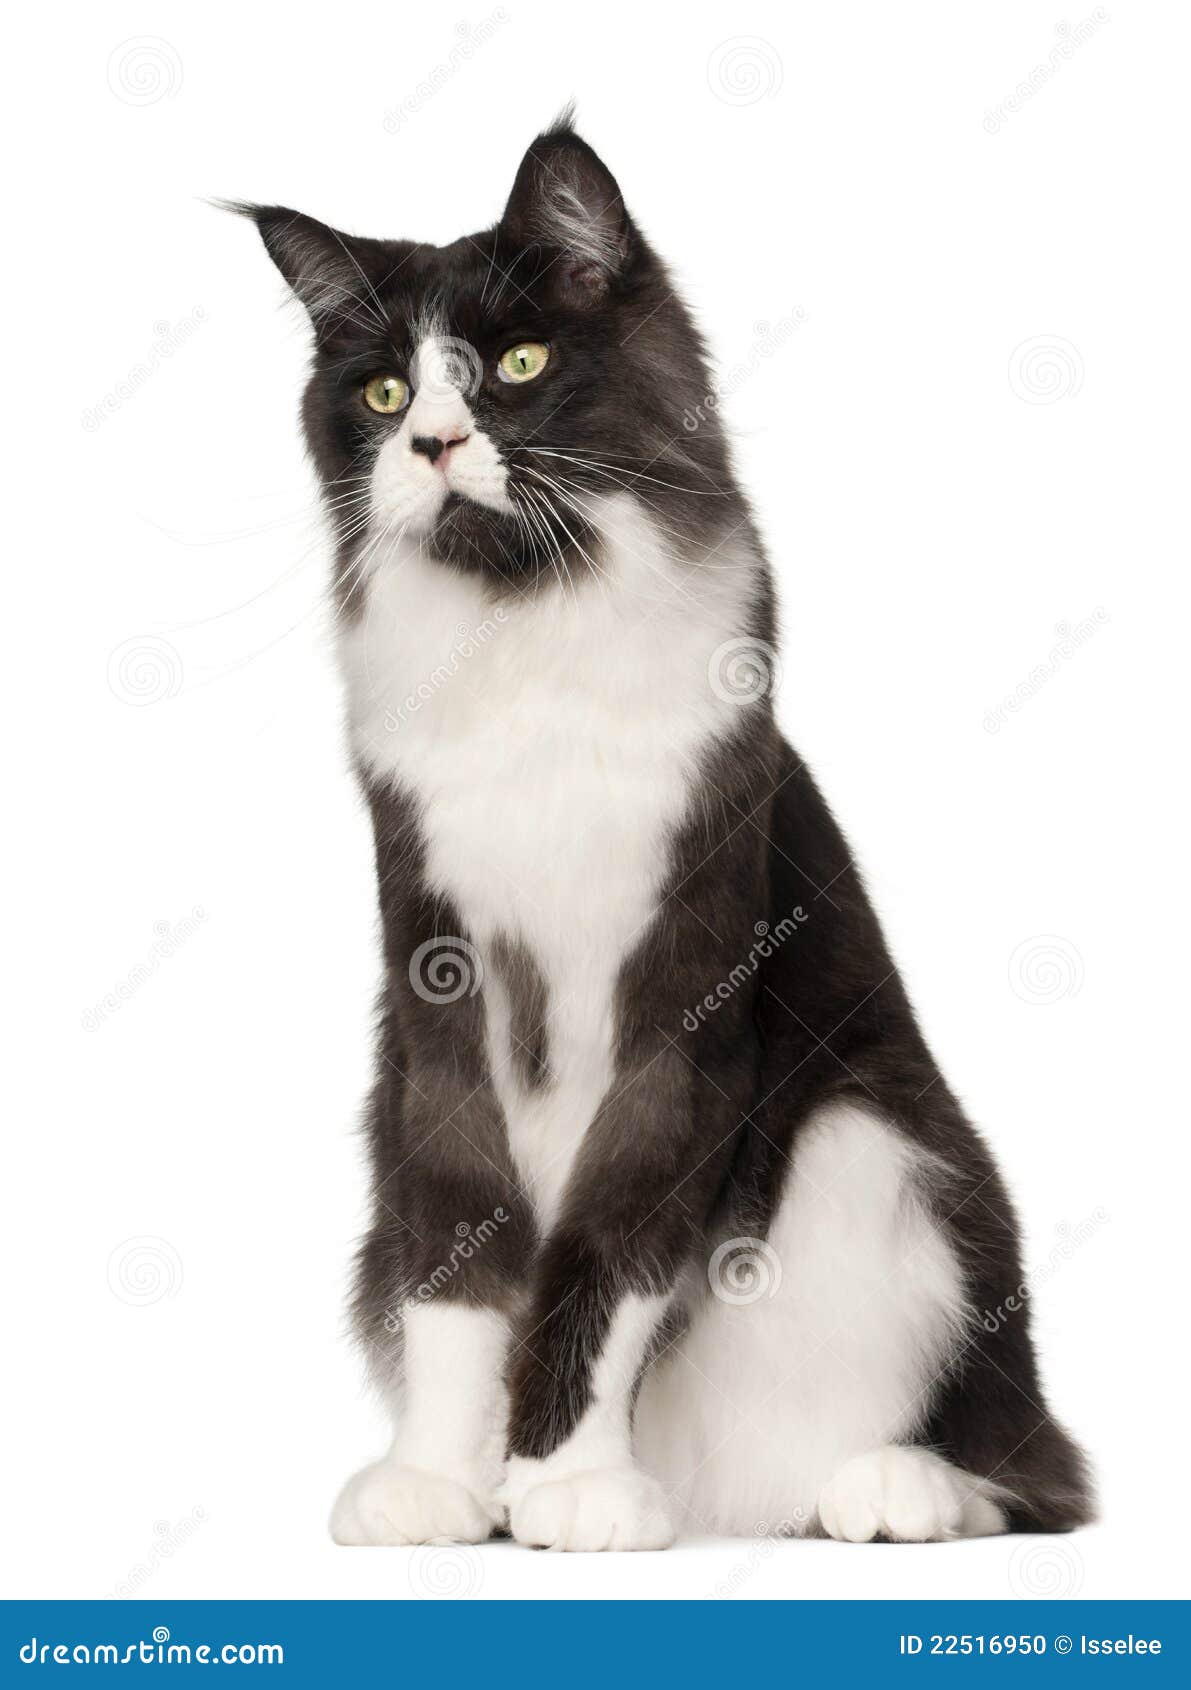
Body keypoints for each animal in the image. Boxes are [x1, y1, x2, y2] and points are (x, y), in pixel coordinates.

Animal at [236, 112, 1094, 1548]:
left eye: (518, 365)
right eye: (384, 395)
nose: (432, 444)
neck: (526, 631)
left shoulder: (681, 1003)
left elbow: (612, 1248)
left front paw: (569, 1483)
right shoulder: (433, 993)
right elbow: (455, 1248)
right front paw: (443, 1480)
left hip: (875, 1142)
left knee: (1022, 1466)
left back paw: (886, 1489)